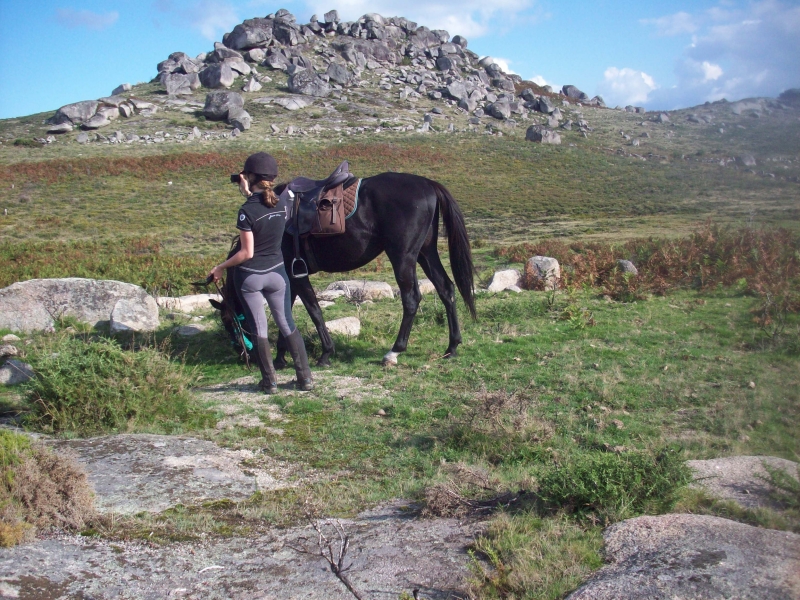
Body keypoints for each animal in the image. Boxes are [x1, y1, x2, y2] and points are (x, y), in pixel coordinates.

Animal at [211, 171, 476, 368]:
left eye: (227, 320)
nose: (244, 356)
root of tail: (428, 184)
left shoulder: (297, 276)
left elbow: (314, 311)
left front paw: (325, 354)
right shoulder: (288, 280)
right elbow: (284, 313)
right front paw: (281, 357)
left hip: (403, 256)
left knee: (411, 299)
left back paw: (394, 352)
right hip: (426, 253)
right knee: (446, 289)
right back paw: (452, 346)